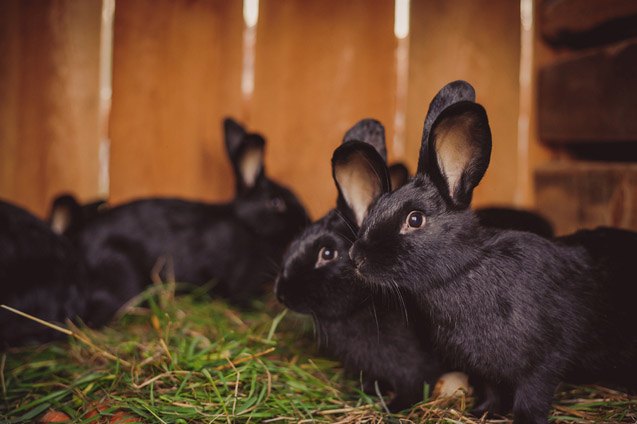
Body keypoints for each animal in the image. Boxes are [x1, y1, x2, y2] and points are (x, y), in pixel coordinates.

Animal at [274, 118, 448, 410]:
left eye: (328, 253)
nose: (282, 294)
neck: (361, 305)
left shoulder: (415, 367)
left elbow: (414, 387)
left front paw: (392, 407)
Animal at [346, 80, 636, 424]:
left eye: (415, 219)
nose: (356, 257)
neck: (465, 271)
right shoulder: (486, 370)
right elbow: (493, 390)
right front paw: (482, 412)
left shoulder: (542, 364)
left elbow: (532, 397)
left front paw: (522, 420)